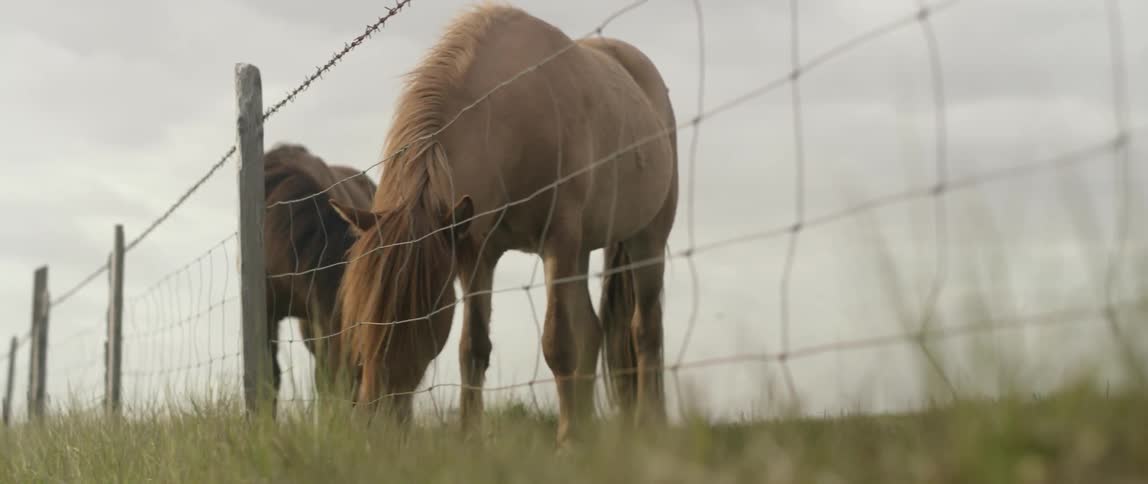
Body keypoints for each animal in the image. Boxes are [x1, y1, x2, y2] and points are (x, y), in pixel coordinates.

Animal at [329, 4, 678, 444]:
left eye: (421, 311)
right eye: (360, 309)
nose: (377, 423)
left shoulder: (559, 241)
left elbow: (558, 343)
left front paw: (566, 441)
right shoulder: (478, 253)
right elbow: (473, 348)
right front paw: (469, 437)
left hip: (646, 240)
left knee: (646, 331)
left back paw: (650, 425)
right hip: (582, 252)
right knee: (594, 332)